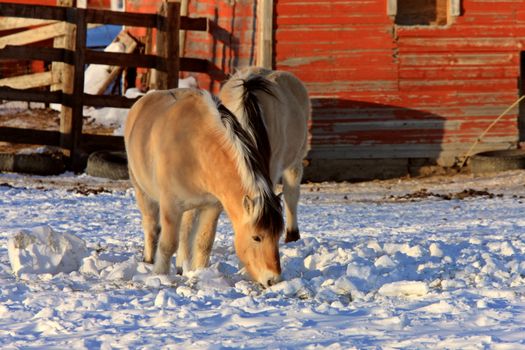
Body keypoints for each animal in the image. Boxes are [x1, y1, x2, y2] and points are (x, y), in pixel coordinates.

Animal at [124, 87, 284, 288]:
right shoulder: (170, 206)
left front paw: (200, 273)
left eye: (278, 235)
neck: (195, 147)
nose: (273, 280)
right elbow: (168, 244)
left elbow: (203, 243)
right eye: (256, 237)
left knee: (185, 233)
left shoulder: (212, 207)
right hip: (142, 192)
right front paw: (160, 275)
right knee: (151, 227)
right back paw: (149, 260)